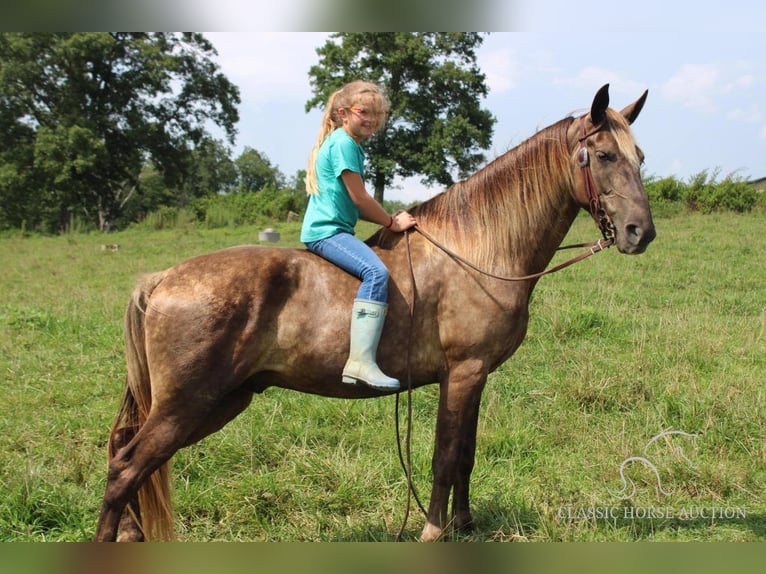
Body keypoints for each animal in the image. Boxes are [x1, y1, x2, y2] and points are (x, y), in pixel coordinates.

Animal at [96, 85, 656, 544]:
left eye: (641, 156)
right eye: (604, 155)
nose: (640, 232)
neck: (477, 249)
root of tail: (161, 279)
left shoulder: (474, 377)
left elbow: (467, 455)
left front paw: (464, 524)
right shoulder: (462, 374)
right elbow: (445, 456)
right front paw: (434, 530)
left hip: (216, 401)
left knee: (125, 461)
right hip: (188, 406)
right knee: (125, 468)